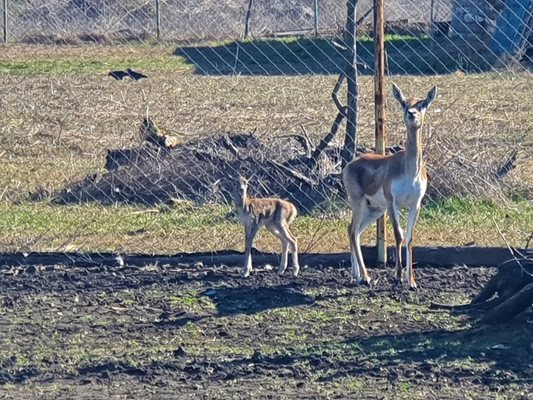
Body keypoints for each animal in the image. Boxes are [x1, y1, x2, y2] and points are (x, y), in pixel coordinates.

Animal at [340, 83, 436, 288]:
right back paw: (366, 277)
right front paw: (398, 276)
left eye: (423, 103)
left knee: (353, 231)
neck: (409, 172)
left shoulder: (415, 204)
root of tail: (351, 164)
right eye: (403, 103)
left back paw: (356, 275)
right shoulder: (393, 204)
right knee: (353, 231)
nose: (412, 114)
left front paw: (412, 281)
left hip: (374, 210)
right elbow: (398, 235)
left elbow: (409, 238)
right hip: (360, 204)